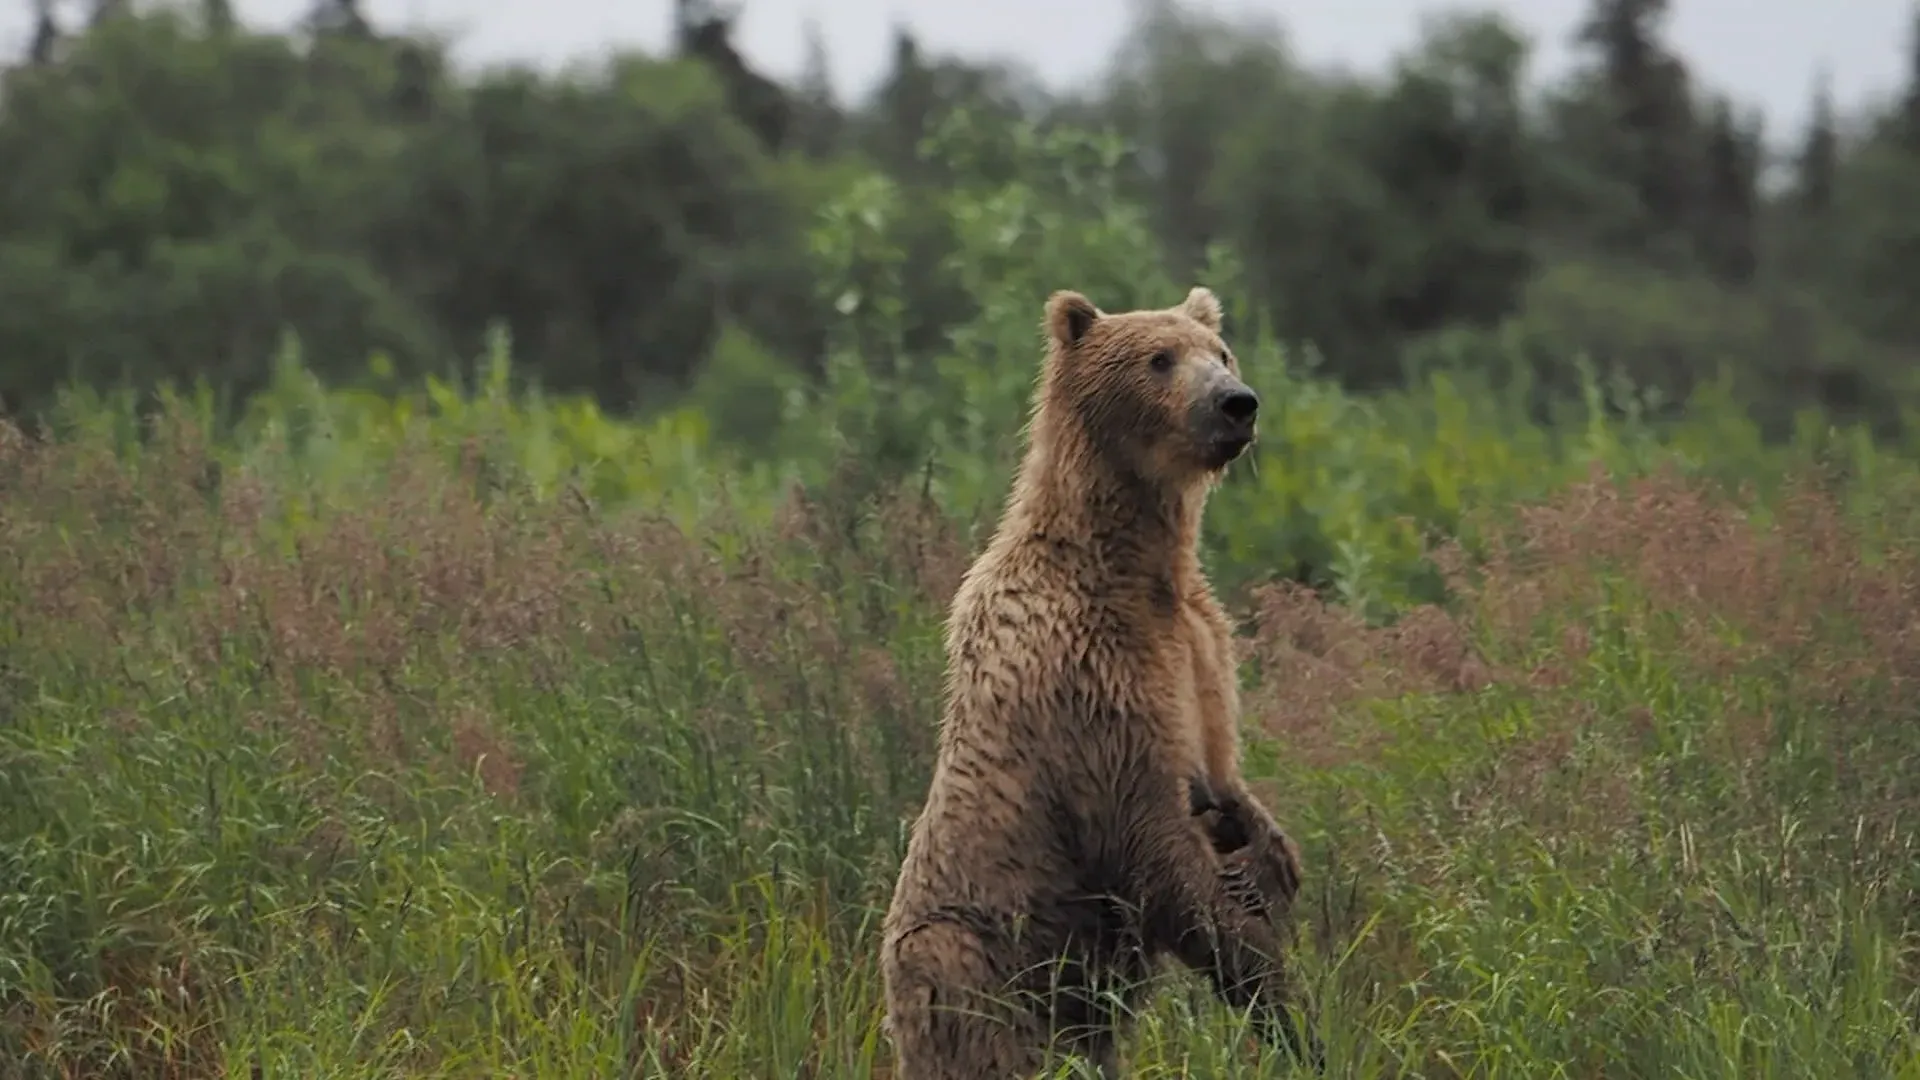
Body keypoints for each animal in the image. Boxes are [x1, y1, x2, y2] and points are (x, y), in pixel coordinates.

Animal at [879, 285, 1317, 1079]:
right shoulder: (1087, 676)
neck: (1134, 565)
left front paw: (1266, 860)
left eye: (1223, 351)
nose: (1237, 404)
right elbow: (1155, 844)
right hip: (975, 960)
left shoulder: (1201, 644)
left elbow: (1225, 773)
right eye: (1160, 358)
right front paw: (1273, 992)